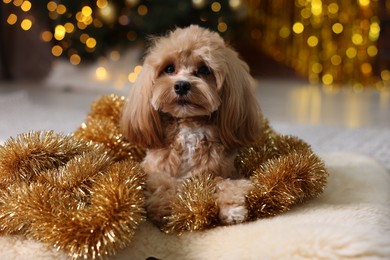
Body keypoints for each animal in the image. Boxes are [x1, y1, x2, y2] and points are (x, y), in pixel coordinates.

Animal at [120, 25, 264, 226]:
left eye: (204, 70)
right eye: (169, 68)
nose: (181, 85)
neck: (189, 126)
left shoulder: (220, 171)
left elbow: (224, 183)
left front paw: (232, 207)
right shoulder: (153, 170)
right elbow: (163, 183)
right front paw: (164, 206)